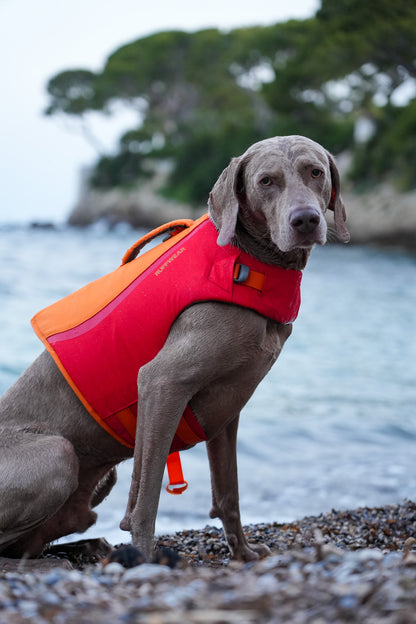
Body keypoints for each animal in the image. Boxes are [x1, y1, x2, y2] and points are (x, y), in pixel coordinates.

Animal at [0, 138, 350, 564]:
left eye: (315, 172)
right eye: (266, 181)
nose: (305, 221)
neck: (250, 263)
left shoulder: (227, 409)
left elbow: (228, 491)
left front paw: (244, 552)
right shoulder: (161, 383)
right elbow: (147, 496)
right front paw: (146, 556)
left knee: (31, 543)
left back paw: (87, 548)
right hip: (58, 453)